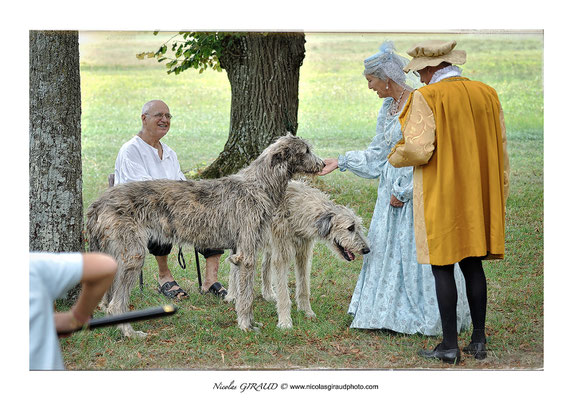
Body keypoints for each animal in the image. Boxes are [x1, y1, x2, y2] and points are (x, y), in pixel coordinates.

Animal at [86, 134, 324, 334]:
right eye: (306, 150)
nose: (322, 164)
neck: (259, 185)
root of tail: (99, 200)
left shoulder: (240, 250)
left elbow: (242, 290)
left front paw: (248, 321)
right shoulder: (247, 254)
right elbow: (246, 296)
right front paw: (246, 326)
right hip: (133, 254)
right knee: (116, 305)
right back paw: (130, 333)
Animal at [226, 180, 368, 328]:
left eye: (358, 227)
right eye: (350, 228)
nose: (367, 250)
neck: (296, 210)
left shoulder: (303, 253)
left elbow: (303, 286)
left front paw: (307, 311)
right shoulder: (282, 254)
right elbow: (283, 292)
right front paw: (285, 322)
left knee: (265, 265)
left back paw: (268, 293)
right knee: (234, 266)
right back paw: (232, 295)